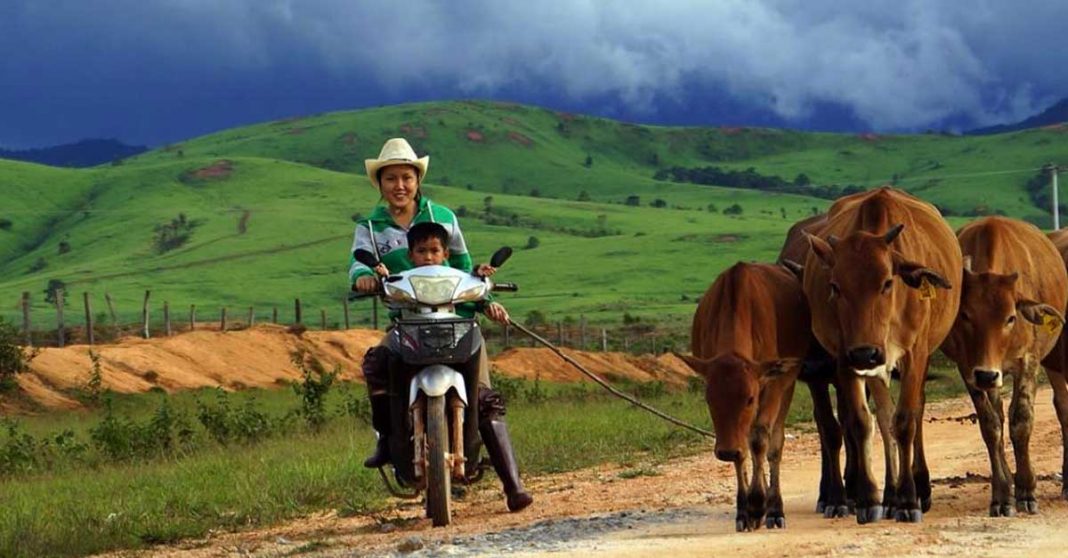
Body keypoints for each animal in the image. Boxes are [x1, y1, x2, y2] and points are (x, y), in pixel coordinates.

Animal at [679, 261, 803, 530]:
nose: (725, 451)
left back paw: (774, 507)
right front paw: (745, 510)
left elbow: (760, 442)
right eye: (709, 399)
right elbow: (743, 451)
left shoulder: (772, 386)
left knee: (774, 445)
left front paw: (758, 504)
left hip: (787, 387)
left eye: (749, 398)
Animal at [803, 187, 965, 521]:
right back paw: (889, 494)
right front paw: (869, 499)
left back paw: (917, 488)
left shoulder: (914, 354)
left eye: (887, 282)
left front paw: (908, 501)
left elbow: (905, 422)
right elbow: (863, 423)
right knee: (883, 417)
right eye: (835, 286)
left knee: (913, 413)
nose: (866, 352)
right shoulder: (845, 358)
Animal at [939, 214, 1063, 515]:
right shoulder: (968, 368)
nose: (986, 375)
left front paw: (1027, 491)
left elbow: (1022, 420)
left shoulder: (1028, 362)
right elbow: (991, 425)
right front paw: (1003, 494)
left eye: (1010, 318)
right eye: (965, 316)